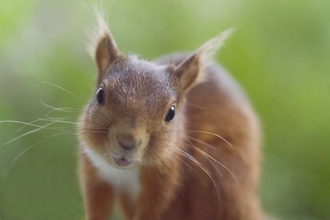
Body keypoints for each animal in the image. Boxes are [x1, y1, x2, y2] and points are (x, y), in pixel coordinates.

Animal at [77, 14, 262, 219]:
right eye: (100, 95)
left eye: (171, 113)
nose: (127, 142)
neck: (125, 171)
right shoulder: (94, 171)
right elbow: (96, 206)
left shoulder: (163, 180)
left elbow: (151, 209)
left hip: (220, 175)